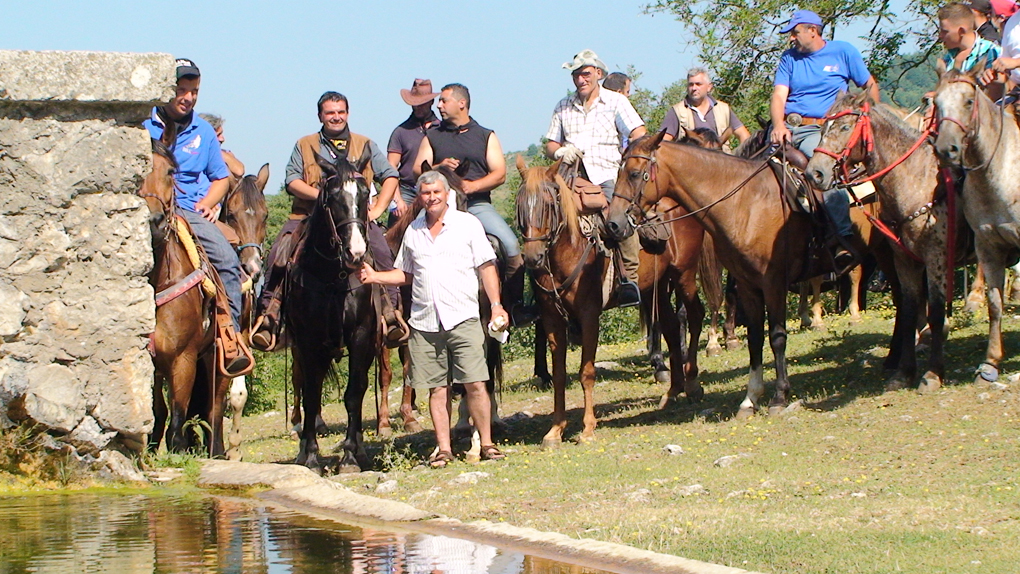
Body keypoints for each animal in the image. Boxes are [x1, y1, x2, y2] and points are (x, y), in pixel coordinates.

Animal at [137, 123, 227, 456]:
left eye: (169, 172)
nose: (153, 222)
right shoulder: (151, 363)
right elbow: (157, 411)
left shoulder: (183, 358)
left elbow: (178, 415)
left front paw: (178, 450)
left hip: (217, 356)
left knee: (215, 407)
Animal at [285, 154, 377, 473]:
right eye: (333, 198)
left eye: (365, 194)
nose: (356, 254)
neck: (332, 276)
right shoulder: (308, 342)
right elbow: (312, 396)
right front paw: (311, 457)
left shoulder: (361, 336)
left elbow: (354, 393)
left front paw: (350, 455)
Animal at [514, 157, 705, 448]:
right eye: (520, 205)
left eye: (549, 204)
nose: (533, 257)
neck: (570, 248)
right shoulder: (552, 319)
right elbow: (559, 375)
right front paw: (555, 430)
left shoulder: (589, 315)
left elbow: (586, 372)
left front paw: (588, 428)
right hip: (656, 288)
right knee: (672, 328)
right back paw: (673, 391)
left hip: (684, 274)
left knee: (695, 316)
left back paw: (693, 384)